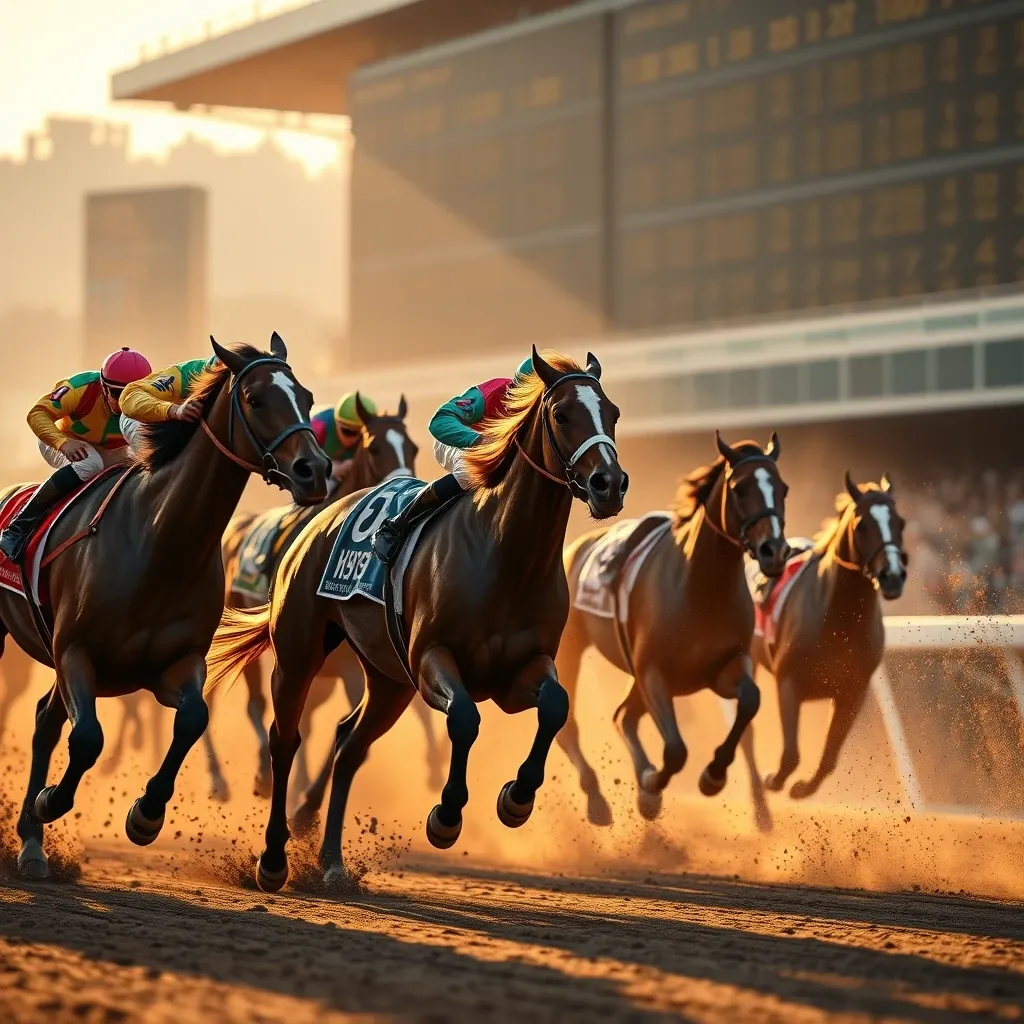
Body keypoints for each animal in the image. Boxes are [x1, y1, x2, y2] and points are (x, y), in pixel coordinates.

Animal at [0, 335, 329, 879]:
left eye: (306, 397)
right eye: (256, 399)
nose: (315, 471)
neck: (159, 542)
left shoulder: (175, 663)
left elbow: (193, 718)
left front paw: (146, 815)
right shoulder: (76, 653)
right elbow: (87, 738)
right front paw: (51, 801)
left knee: (46, 721)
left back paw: (30, 845)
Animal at [555, 434, 790, 830]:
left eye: (783, 488)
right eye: (740, 489)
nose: (774, 550)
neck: (700, 588)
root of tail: (574, 549)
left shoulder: (723, 668)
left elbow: (750, 700)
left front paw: (713, 775)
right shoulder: (653, 673)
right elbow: (677, 750)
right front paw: (651, 788)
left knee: (623, 716)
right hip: (570, 651)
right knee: (571, 723)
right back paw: (597, 800)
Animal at [752, 473, 907, 799]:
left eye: (900, 523)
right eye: (862, 525)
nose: (893, 577)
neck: (840, 621)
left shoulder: (853, 692)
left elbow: (830, 758)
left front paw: (802, 788)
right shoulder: (788, 682)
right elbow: (791, 754)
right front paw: (774, 779)